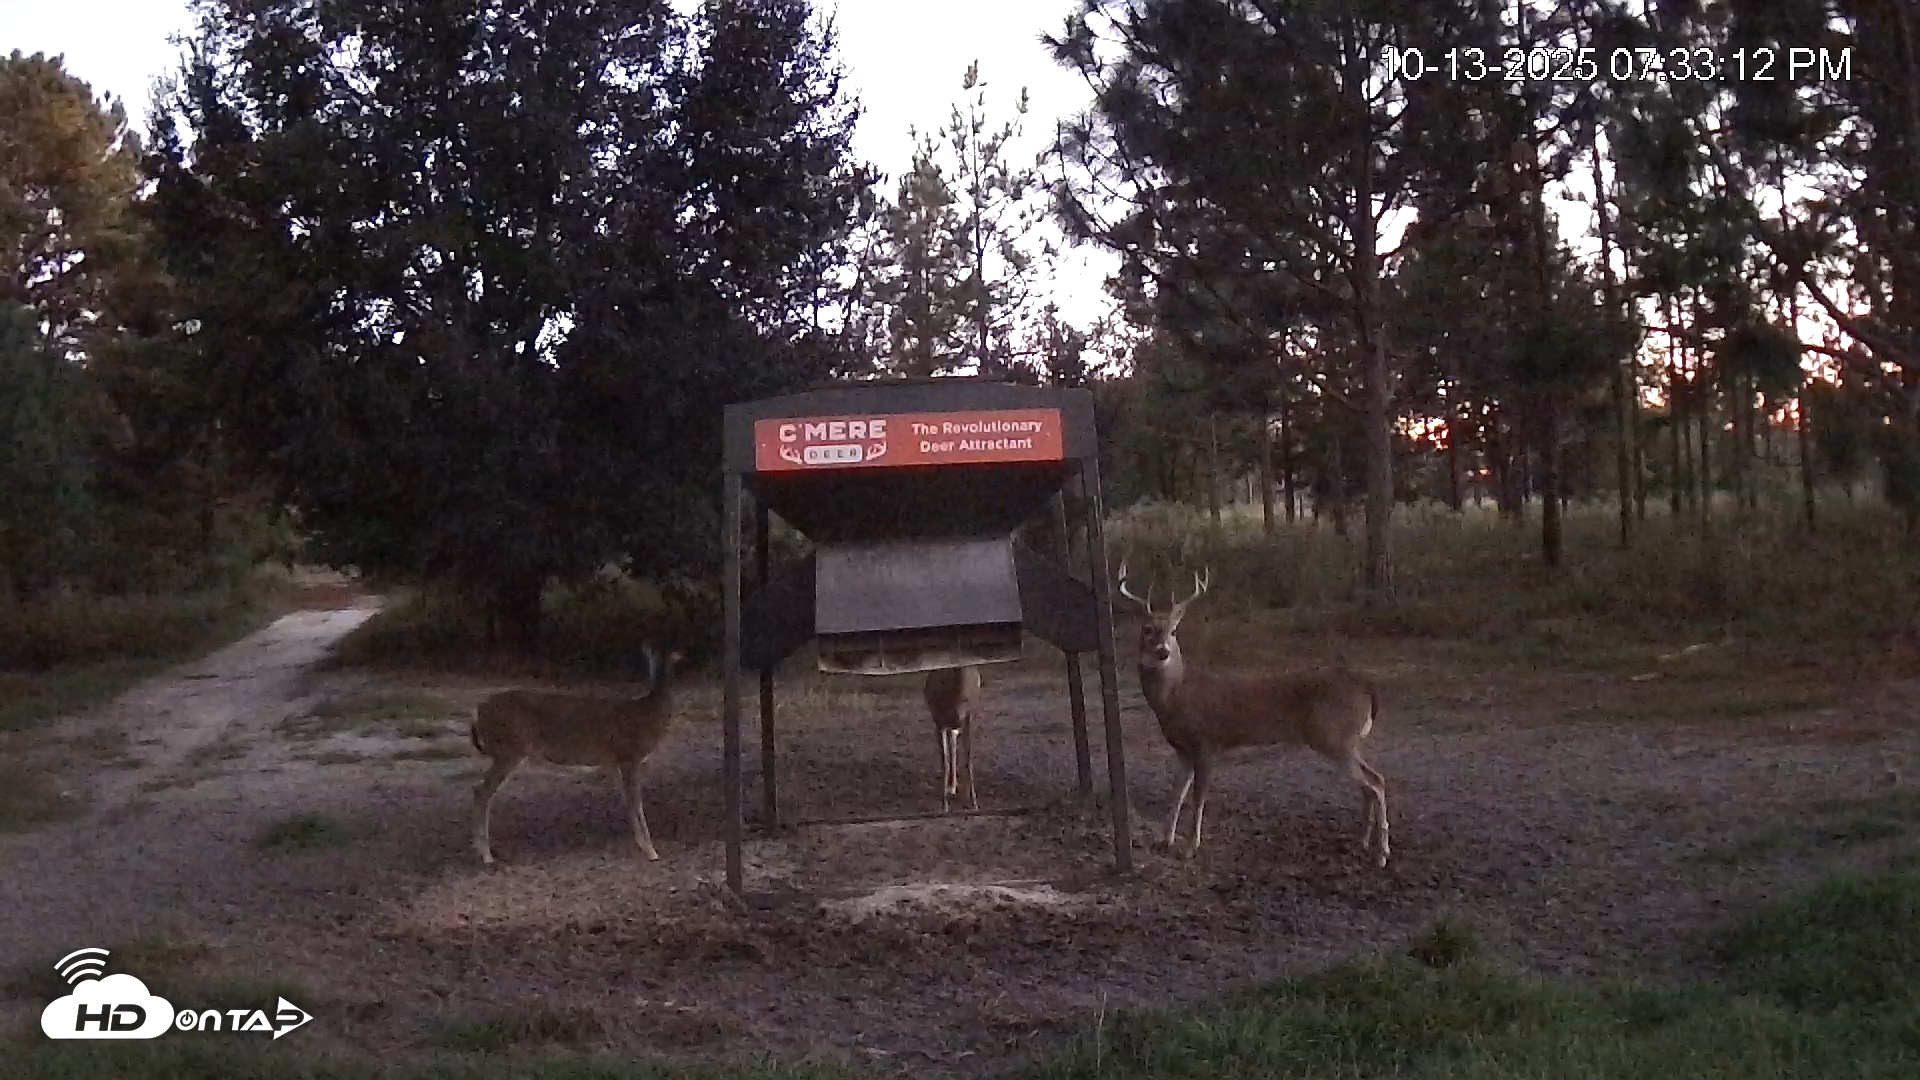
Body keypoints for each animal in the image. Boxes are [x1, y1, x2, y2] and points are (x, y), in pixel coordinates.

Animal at [468, 644, 685, 866]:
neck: (649, 714)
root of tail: (477, 713)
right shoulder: (629, 757)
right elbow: (637, 803)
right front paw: (652, 851)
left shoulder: (614, 761)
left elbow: (628, 801)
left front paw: (641, 845)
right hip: (509, 749)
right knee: (481, 791)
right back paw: (486, 855)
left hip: (505, 751)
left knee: (480, 790)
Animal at [924, 665, 982, 812]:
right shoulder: (939, 722)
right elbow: (945, 761)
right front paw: (944, 805)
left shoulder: (968, 719)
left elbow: (969, 760)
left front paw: (974, 803)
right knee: (950, 749)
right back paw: (952, 787)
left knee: (954, 747)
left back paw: (954, 787)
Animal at [1116, 562, 1390, 866]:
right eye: (1147, 629)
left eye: (1174, 631)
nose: (1163, 652)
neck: (1177, 696)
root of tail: (1367, 687)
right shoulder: (1182, 749)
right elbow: (1176, 794)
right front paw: (1165, 841)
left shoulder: (1208, 743)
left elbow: (1198, 798)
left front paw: (1190, 847)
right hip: (1345, 739)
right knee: (1370, 783)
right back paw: (1363, 841)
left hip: (1332, 736)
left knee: (1376, 783)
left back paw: (1382, 853)